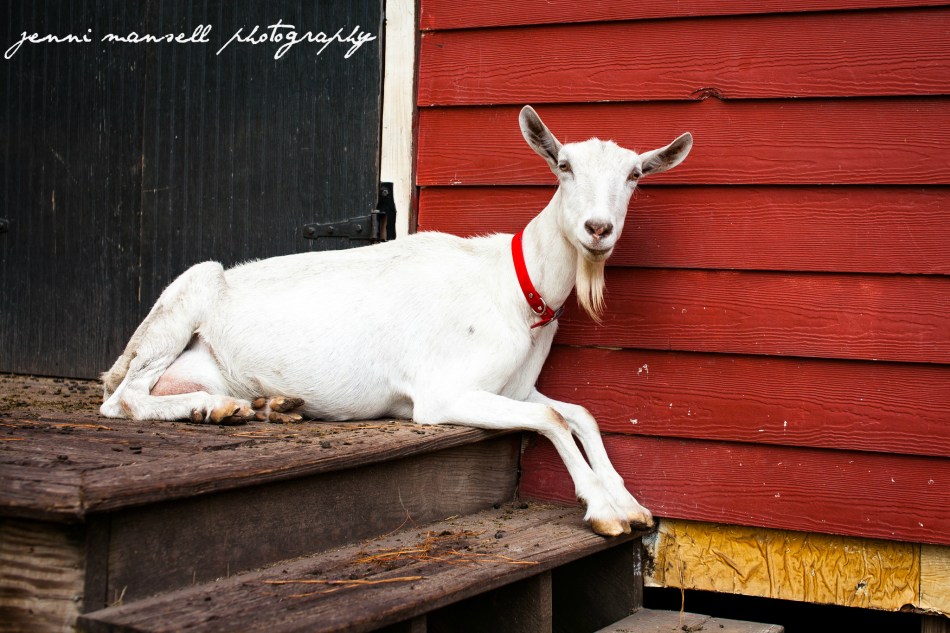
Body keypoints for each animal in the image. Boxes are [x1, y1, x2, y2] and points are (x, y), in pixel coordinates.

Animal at [100, 106, 692, 536]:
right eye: (564, 166)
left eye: (635, 175)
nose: (598, 228)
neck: (514, 288)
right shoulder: (442, 393)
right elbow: (552, 420)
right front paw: (605, 511)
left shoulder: (515, 388)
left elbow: (580, 414)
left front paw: (630, 504)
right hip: (183, 300)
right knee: (123, 400)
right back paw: (211, 406)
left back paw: (262, 405)